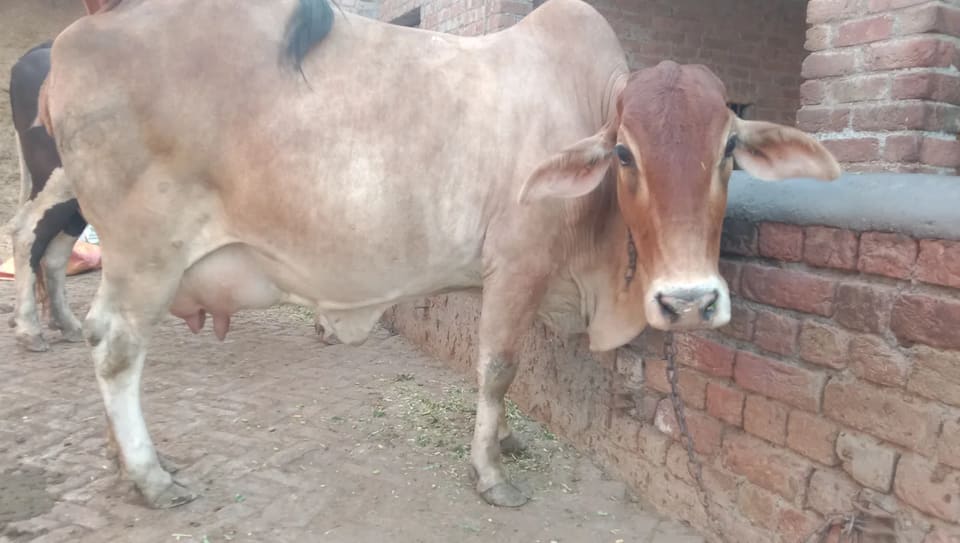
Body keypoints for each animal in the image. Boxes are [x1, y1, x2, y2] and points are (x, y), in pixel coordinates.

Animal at [40, 0, 840, 509]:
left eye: (729, 148)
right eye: (624, 152)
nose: (690, 300)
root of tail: (73, 39)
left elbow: (510, 375)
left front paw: (507, 441)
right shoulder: (517, 265)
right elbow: (499, 368)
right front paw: (489, 471)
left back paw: (125, 459)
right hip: (146, 255)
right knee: (115, 347)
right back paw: (150, 476)